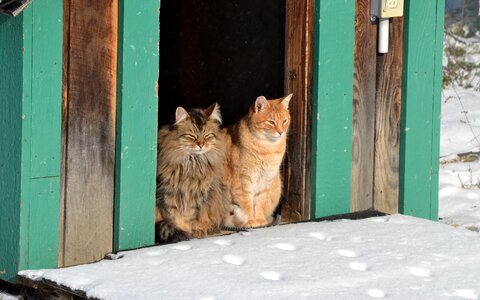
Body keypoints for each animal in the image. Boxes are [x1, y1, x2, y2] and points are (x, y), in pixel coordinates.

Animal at [155, 103, 233, 244]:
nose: (201, 145)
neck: (192, 163)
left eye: (207, 136)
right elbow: (173, 217)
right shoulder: (168, 193)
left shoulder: (197, 195)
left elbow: (189, 217)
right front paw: (181, 233)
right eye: (192, 136)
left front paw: (189, 233)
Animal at [222, 94, 292, 227]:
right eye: (271, 122)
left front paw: (259, 220)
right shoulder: (243, 180)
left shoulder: (265, 181)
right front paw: (250, 221)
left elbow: (260, 202)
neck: (267, 149)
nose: (281, 132)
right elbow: (247, 203)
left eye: (284, 121)